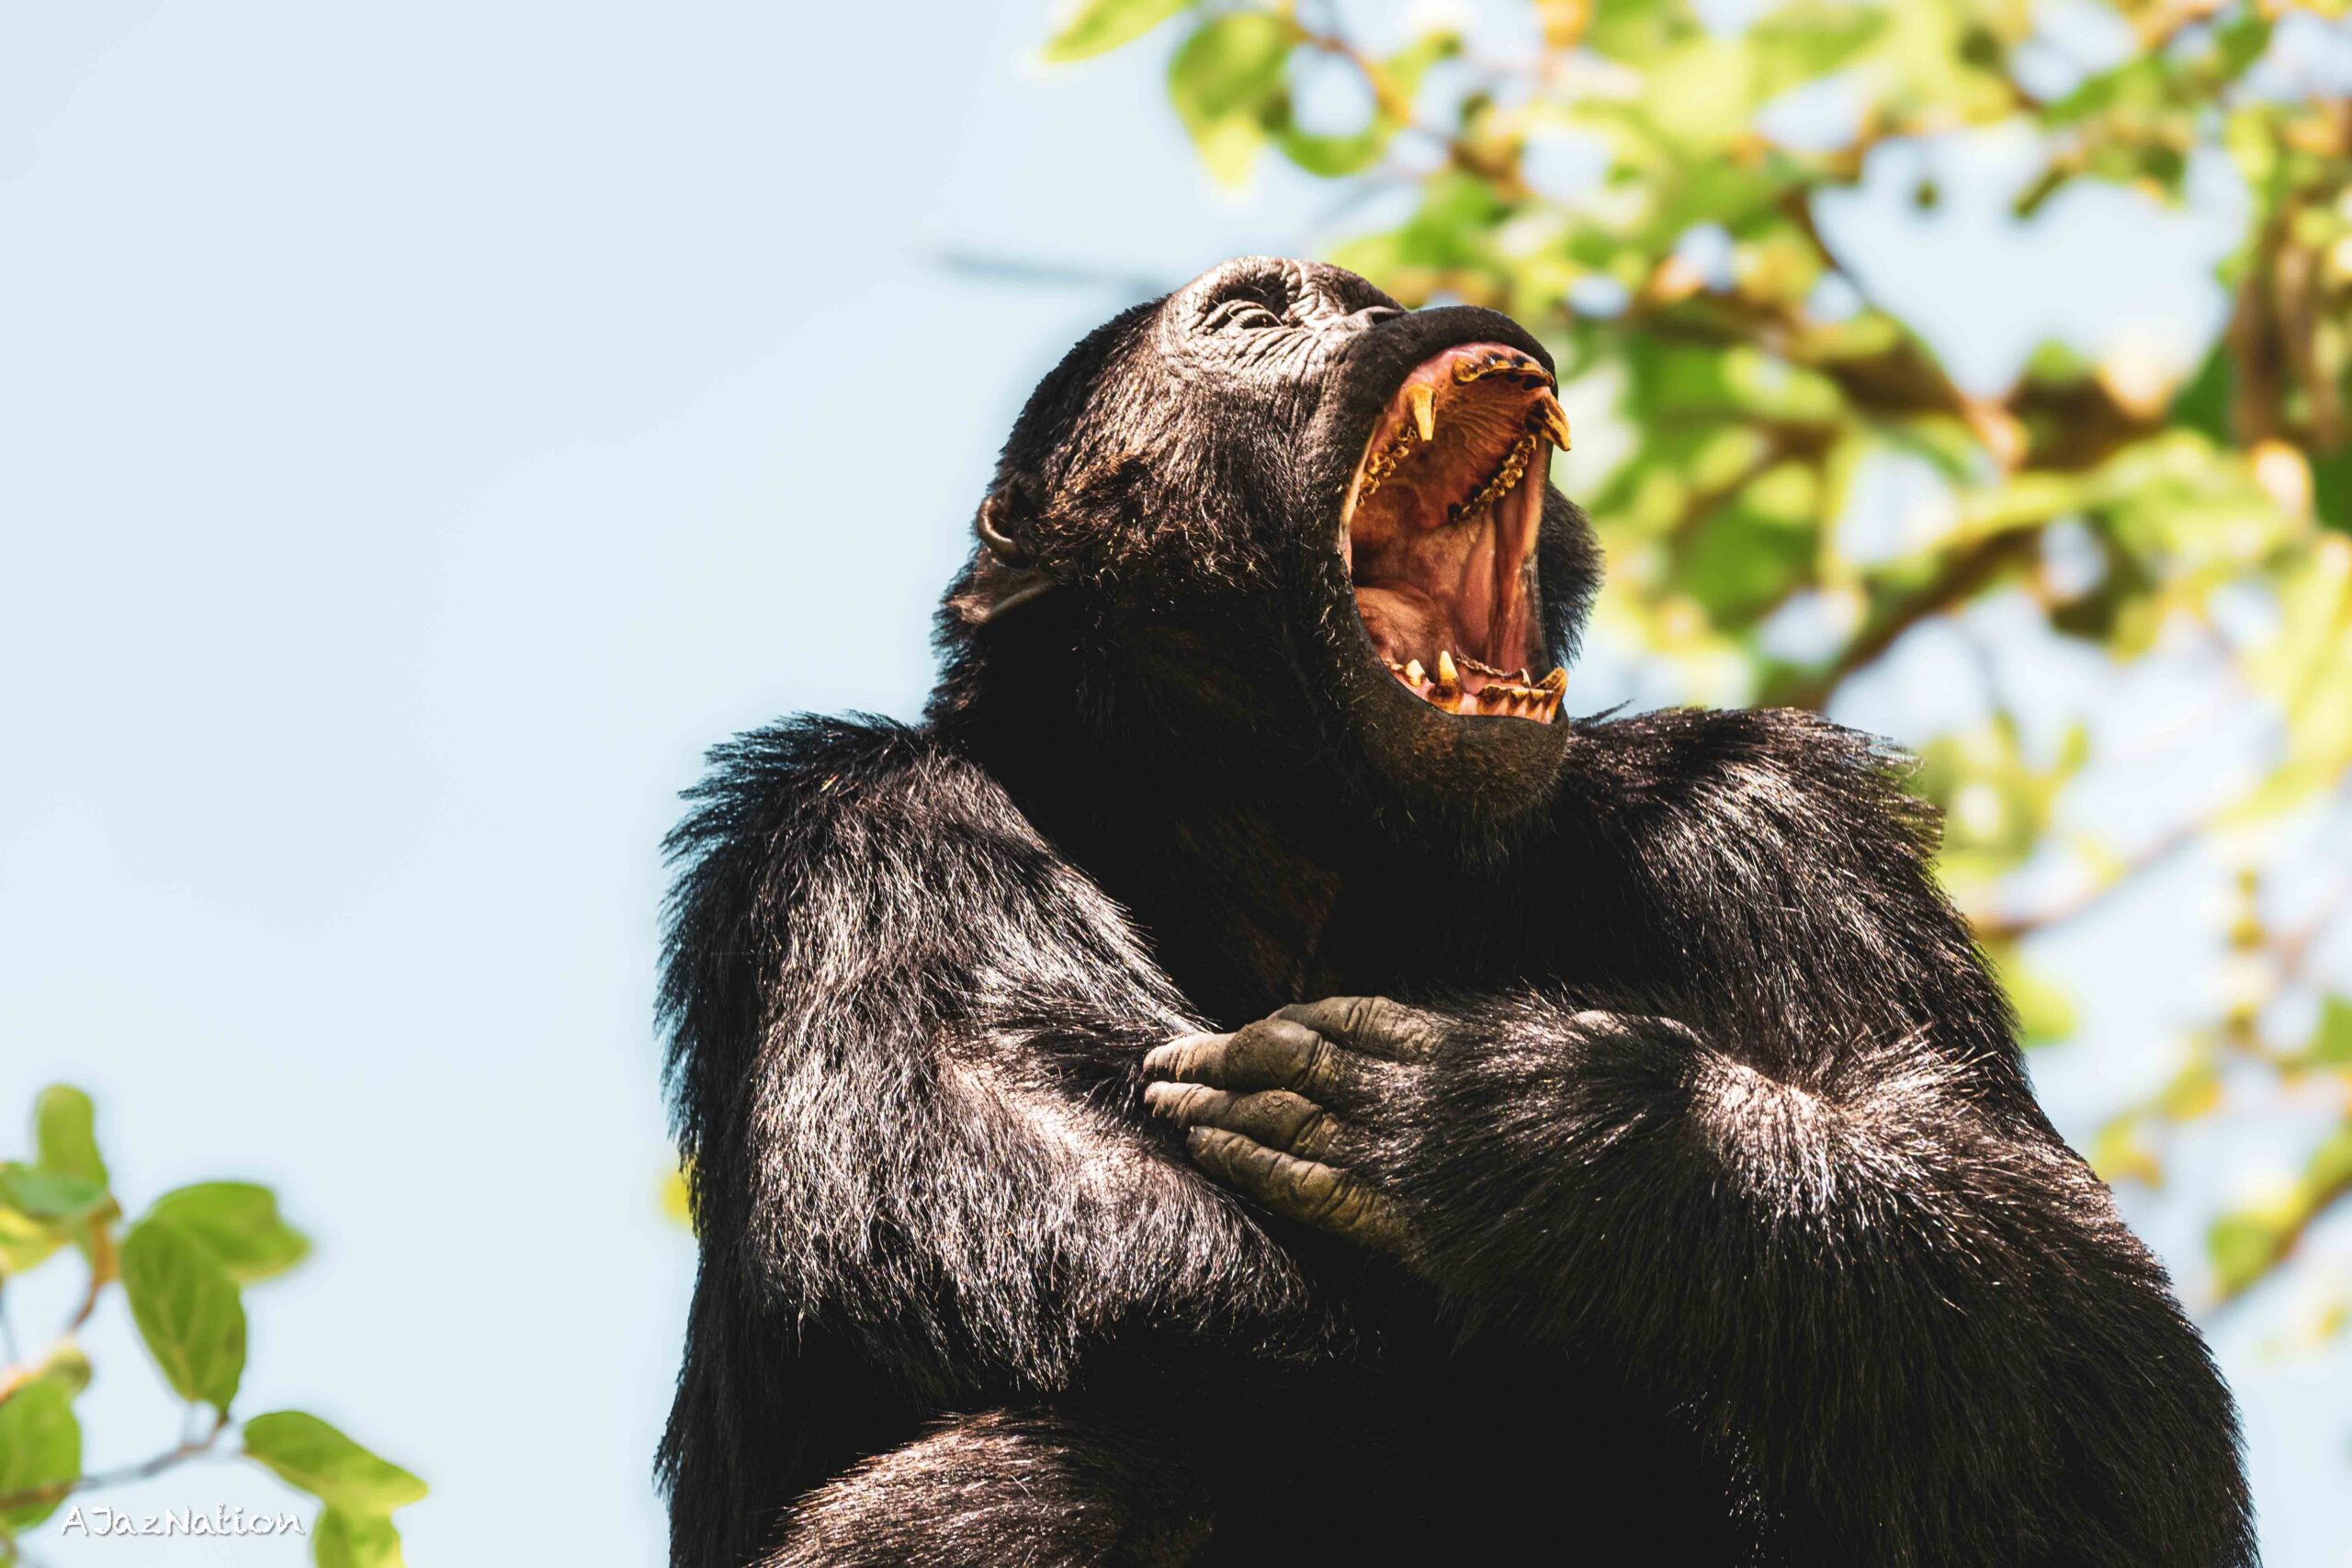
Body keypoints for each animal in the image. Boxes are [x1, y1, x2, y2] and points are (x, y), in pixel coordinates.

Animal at [657, 257, 2253, 1566]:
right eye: (1256, 317)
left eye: (1361, 295)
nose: (1385, 314)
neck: (1313, 845)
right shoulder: (851, 832)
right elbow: (1048, 1192)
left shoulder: (1772, 823)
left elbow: (2101, 1384)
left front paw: (1543, 1132)